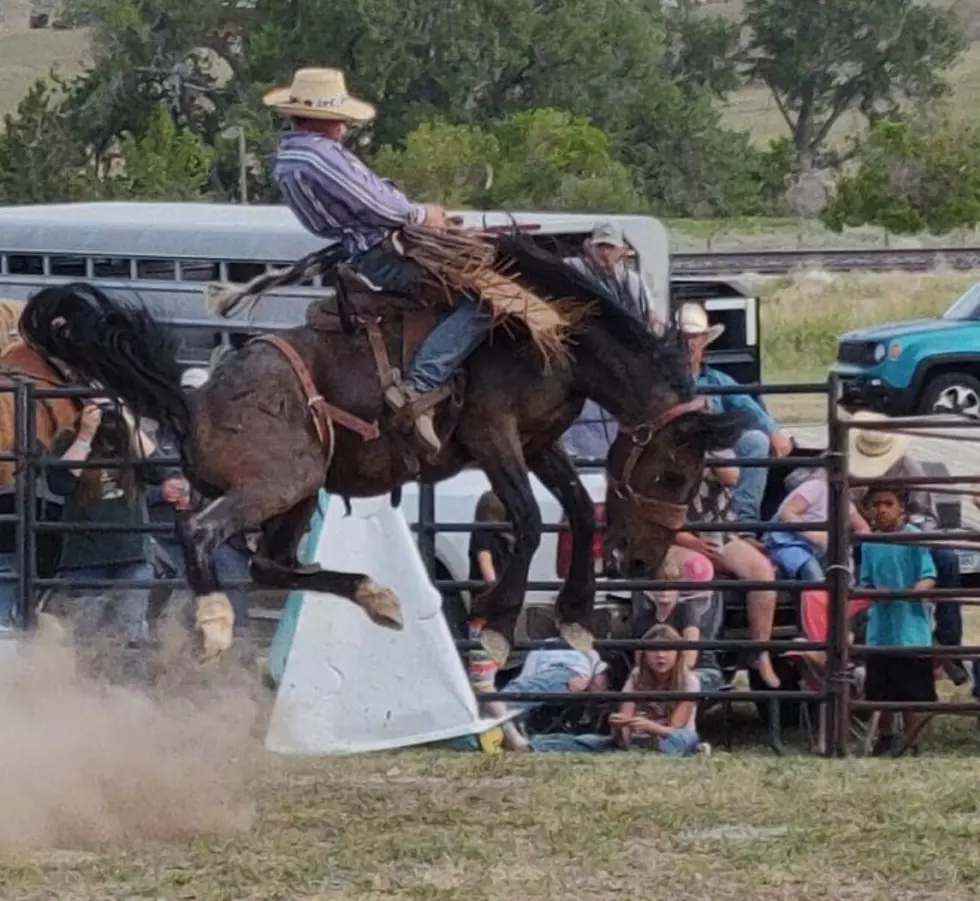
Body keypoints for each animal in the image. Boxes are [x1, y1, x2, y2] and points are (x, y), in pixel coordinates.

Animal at [17, 232, 744, 660]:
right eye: (674, 477)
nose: (641, 560)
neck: (549, 334)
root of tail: (193, 400)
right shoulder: (492, 435)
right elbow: (532, 519)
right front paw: (497, 629)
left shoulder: (539, 442)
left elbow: (577, 510)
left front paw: (573, 617)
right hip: (279, 482)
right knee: (200, 531)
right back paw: (217, 621)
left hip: (301, 490)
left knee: (271, 564)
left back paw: (374, 594)